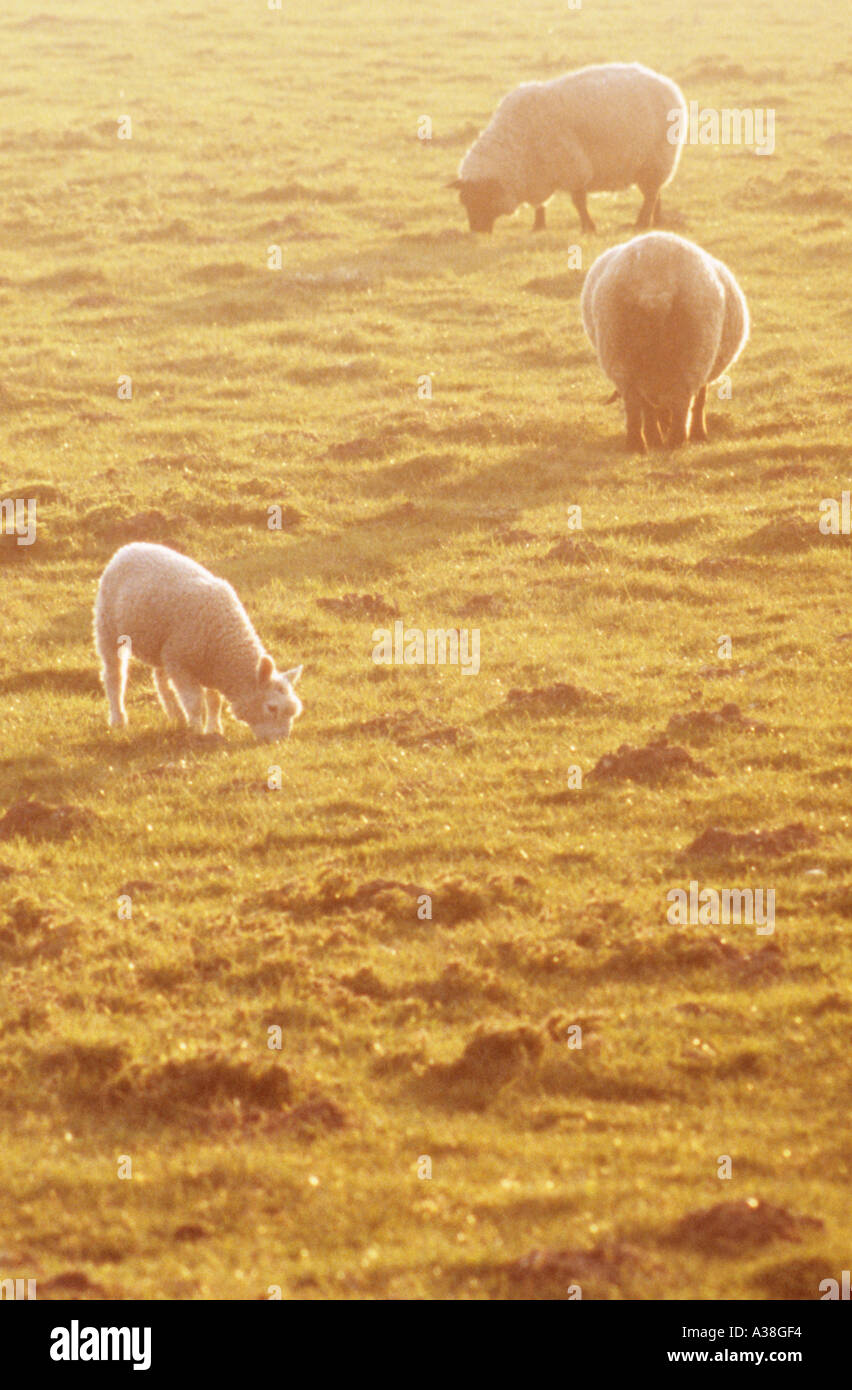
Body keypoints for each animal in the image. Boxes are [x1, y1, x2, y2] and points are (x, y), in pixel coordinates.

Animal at [93, 539, 302, 745]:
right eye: (272, 708)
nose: (279, 742)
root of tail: (129, 547)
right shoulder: (181, 662)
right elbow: (194, 702)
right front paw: (195, 731)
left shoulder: (210, 667)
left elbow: (214, 701)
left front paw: (214, 729)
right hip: (108, 627)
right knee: (114, 676)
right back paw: (118, 719)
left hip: (161, 645)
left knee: (161, 681)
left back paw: (176, 716)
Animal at [447, 59, 686, 232]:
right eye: (466, 202)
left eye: (482, 199)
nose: (477, 231)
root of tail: (667, 83)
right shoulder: (540, 175)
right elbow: (541, 204)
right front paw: (538, 226)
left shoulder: (574, 169)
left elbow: (579, 202)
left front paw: (588, 228)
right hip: (652, 165)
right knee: (656, 191)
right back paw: (657, 220)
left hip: (659, 158)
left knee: (651, 195)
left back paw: (642, 223)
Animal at [578, 230, 744, 450]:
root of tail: (655, 283)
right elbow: (700, 400)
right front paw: (699, 434)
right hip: (694, 354)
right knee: (681, 402)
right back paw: (675, 441)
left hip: (619, 351)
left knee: (634, 402)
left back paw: (640, 443)